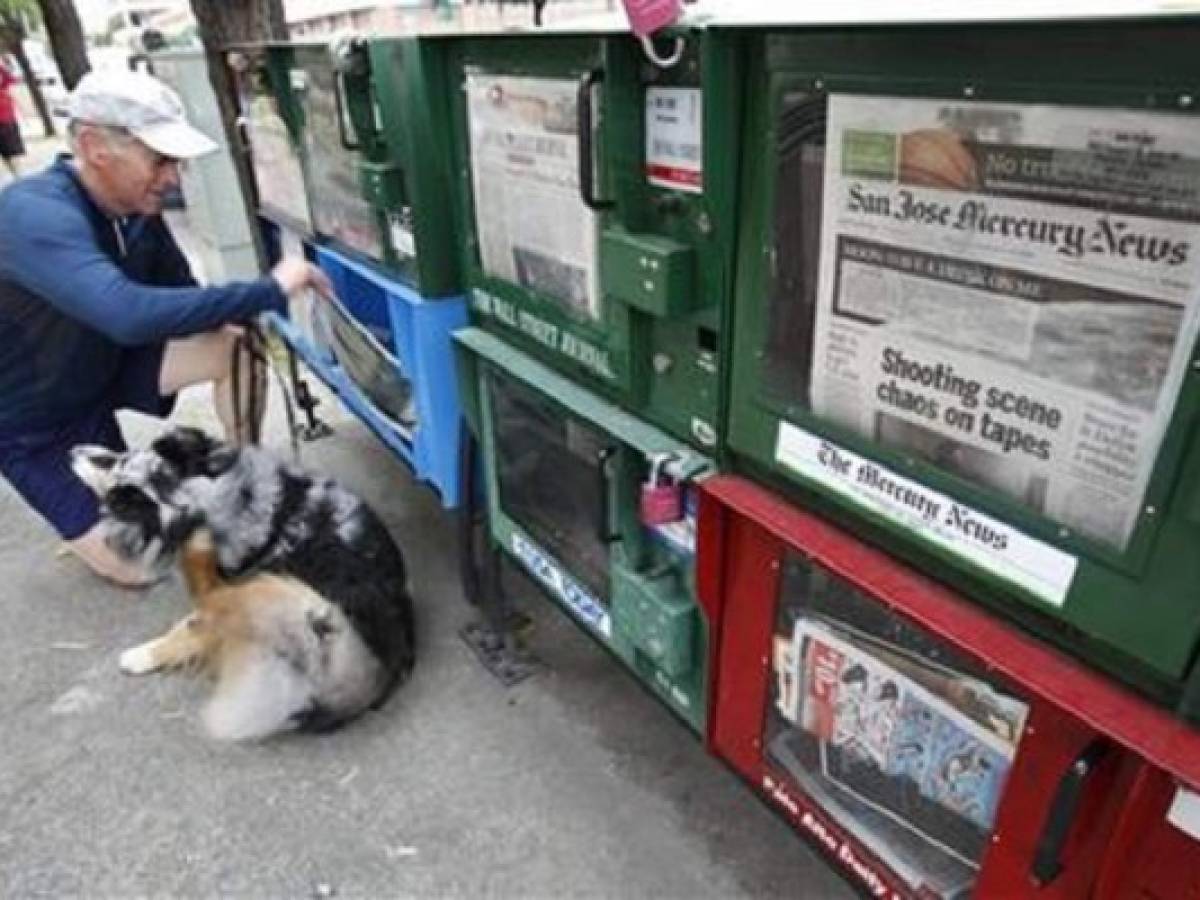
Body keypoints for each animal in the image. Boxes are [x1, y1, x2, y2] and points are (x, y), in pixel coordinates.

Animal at [71, 427, 417, 739]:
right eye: (118, 456)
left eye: (111, 464)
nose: (73, 450)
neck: (208, 501)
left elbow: (192, 621)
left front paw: (141, 656)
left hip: (276, 593)